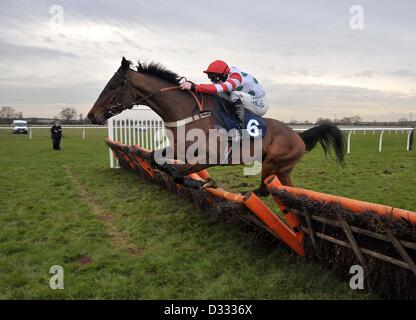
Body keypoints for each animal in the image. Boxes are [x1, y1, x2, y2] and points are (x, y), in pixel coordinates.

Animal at [88, 56, 344, 194]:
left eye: (113, 86)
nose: (92, 116)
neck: (189, 114)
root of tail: (299, 136)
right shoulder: (181, 150)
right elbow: (156, 159)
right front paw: (197, 181)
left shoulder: (211, 156)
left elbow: (179, 172)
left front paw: (203, 182)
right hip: (282, 170)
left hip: (273, 164)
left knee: (264, 189)